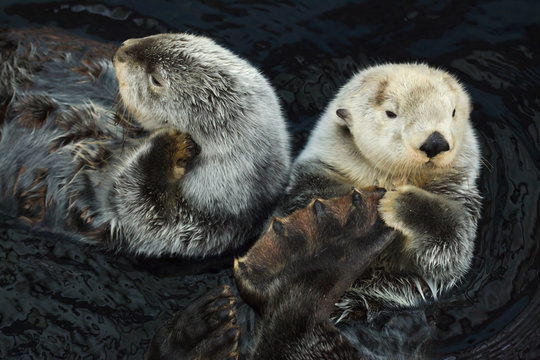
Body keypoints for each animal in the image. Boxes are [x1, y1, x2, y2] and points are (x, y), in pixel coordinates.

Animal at [0, 28, 292, 258]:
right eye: (175, 35)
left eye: (156, 79)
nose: (123, 47)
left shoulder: (184, 230)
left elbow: (134, 201)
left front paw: (171, 142)